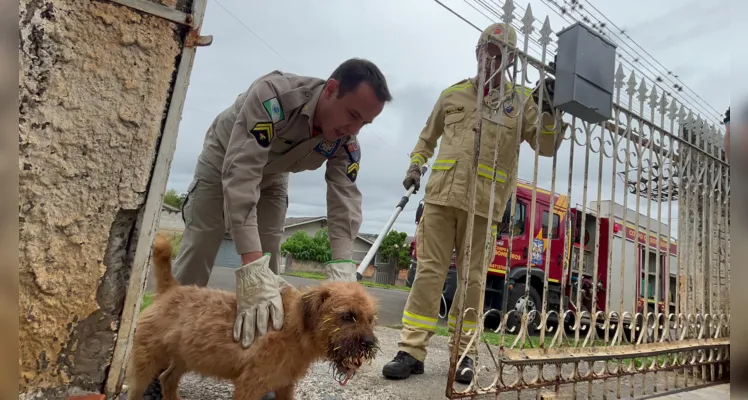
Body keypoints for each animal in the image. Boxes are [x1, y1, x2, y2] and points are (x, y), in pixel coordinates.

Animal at [126, 234, 380, 400]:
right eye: (347, 316)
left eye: (370, 319)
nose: (369, 344)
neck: (296, 329)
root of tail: (170, 289)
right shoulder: (249, 386)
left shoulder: (285, 386)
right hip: (145, 363)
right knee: (140, 388)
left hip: (184, 357)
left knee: (168, 379)